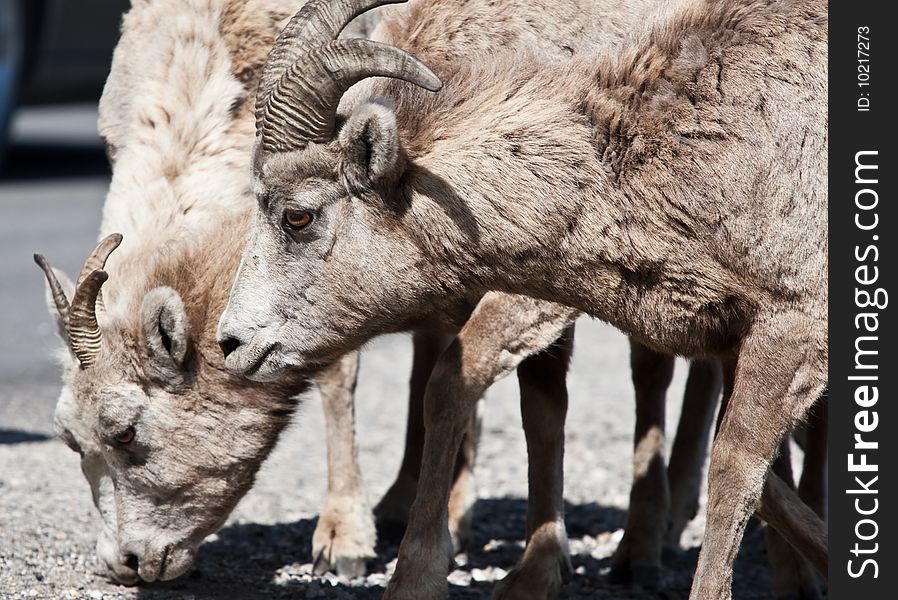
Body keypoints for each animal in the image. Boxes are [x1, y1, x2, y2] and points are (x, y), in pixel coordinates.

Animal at [217, 1, 824, 600]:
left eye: (298, 215)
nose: (230, 342)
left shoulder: (788, 332)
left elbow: (735, 472)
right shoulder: (731, 341)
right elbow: (768, 486)